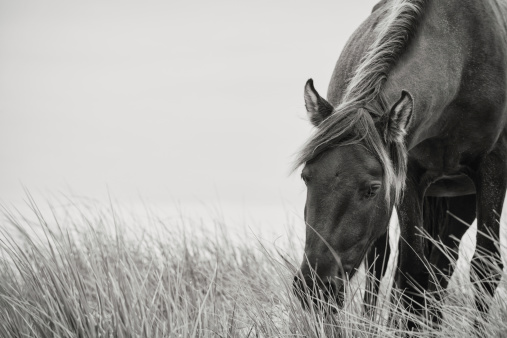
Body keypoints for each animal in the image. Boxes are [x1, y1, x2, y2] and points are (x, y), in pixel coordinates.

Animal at [292, 0, 507, 328]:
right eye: (306, 177)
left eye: (372, 188)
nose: (314, 287)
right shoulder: (409, 178)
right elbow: (411, 272)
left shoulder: (492, 168)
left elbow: (485, 267)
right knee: (389, 262)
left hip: (462, 199)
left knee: (442, 263)